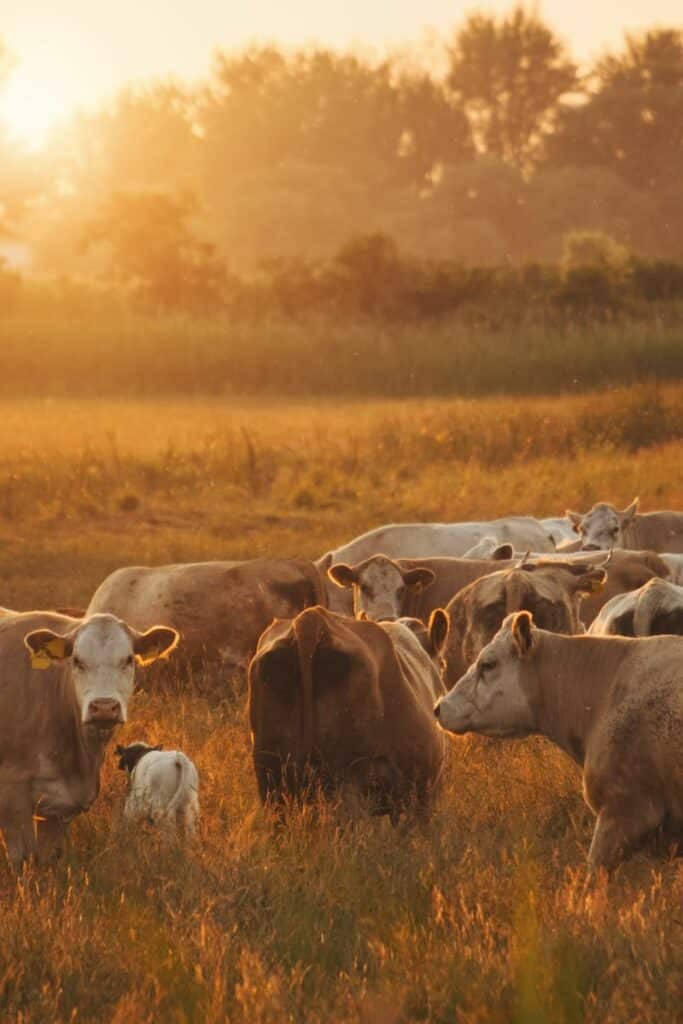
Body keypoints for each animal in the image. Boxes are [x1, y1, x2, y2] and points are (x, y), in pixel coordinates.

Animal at [0, 610, 179, 868]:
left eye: (128, 659)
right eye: (77, 660)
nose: (104, 707)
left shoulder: (61, 807)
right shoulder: (12, 796)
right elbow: (23, 859)